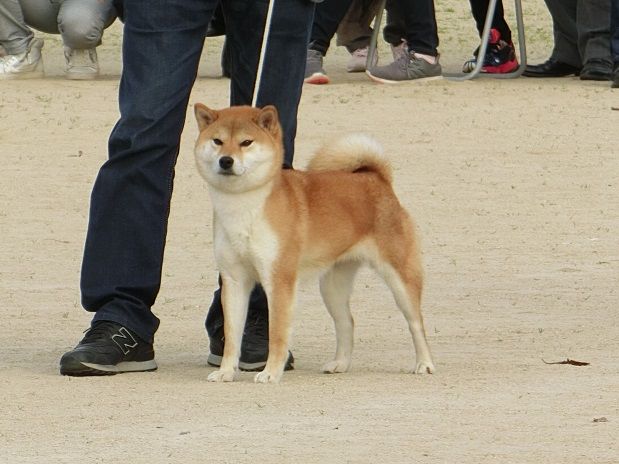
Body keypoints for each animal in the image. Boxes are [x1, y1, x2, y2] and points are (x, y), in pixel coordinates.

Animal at [194, 103, 436, 382]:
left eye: (246, 142)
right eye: (217, 141)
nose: (226, 160)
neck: (243, 207)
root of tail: (376, 178)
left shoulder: (279, 280)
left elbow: (277, 334)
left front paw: (271, 373)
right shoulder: (234, 280)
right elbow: (232, 336)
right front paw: (225, 372)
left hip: (400, 278)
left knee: (416, 323)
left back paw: (425, 364)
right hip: (332, 287)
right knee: (347, 322)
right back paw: (340, 363)